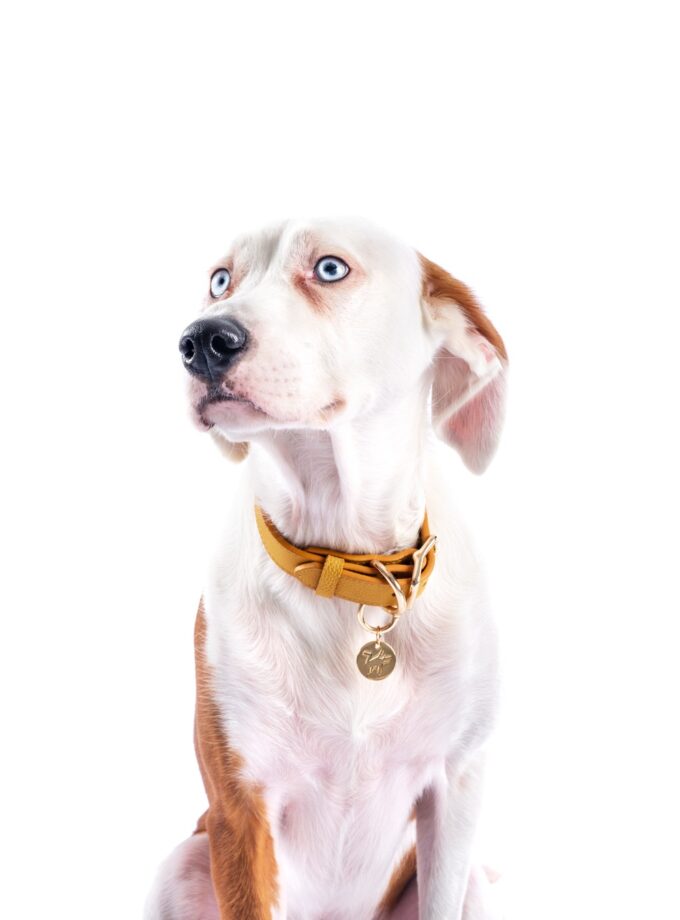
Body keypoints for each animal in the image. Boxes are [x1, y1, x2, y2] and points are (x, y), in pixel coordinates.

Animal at [145, 217, 507, 920]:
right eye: (220, 280)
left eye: (330, 268)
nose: (202, 341)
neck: (346, 559)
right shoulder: (239, 806)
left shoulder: (456, 791)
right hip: (180, 864)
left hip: (479, 881)